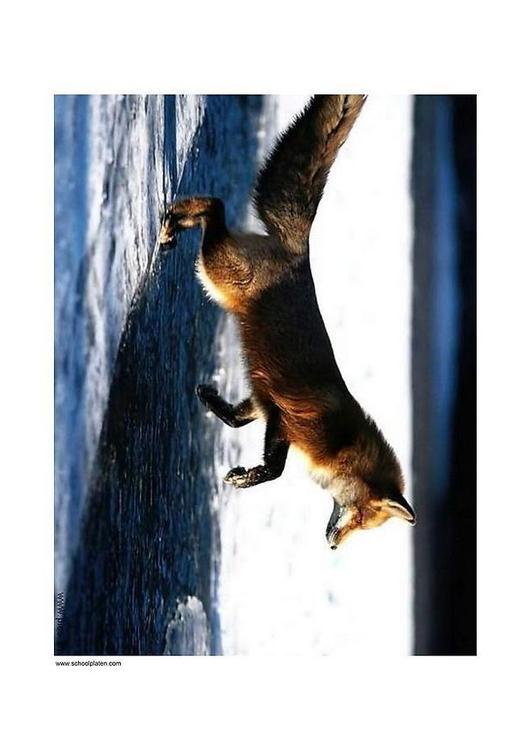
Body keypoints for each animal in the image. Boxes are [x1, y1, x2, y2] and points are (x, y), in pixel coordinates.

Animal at [159, 94, 415, 549]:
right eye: (360, 517)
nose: (332, 546)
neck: (339, 443)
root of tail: (299, 252)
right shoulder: (288, 419)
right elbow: (275, 470)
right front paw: (250, 477)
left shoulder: (265, 400)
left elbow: (236, 417)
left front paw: (210, 399)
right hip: (218, 272)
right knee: (215, 207)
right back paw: (176, 221)